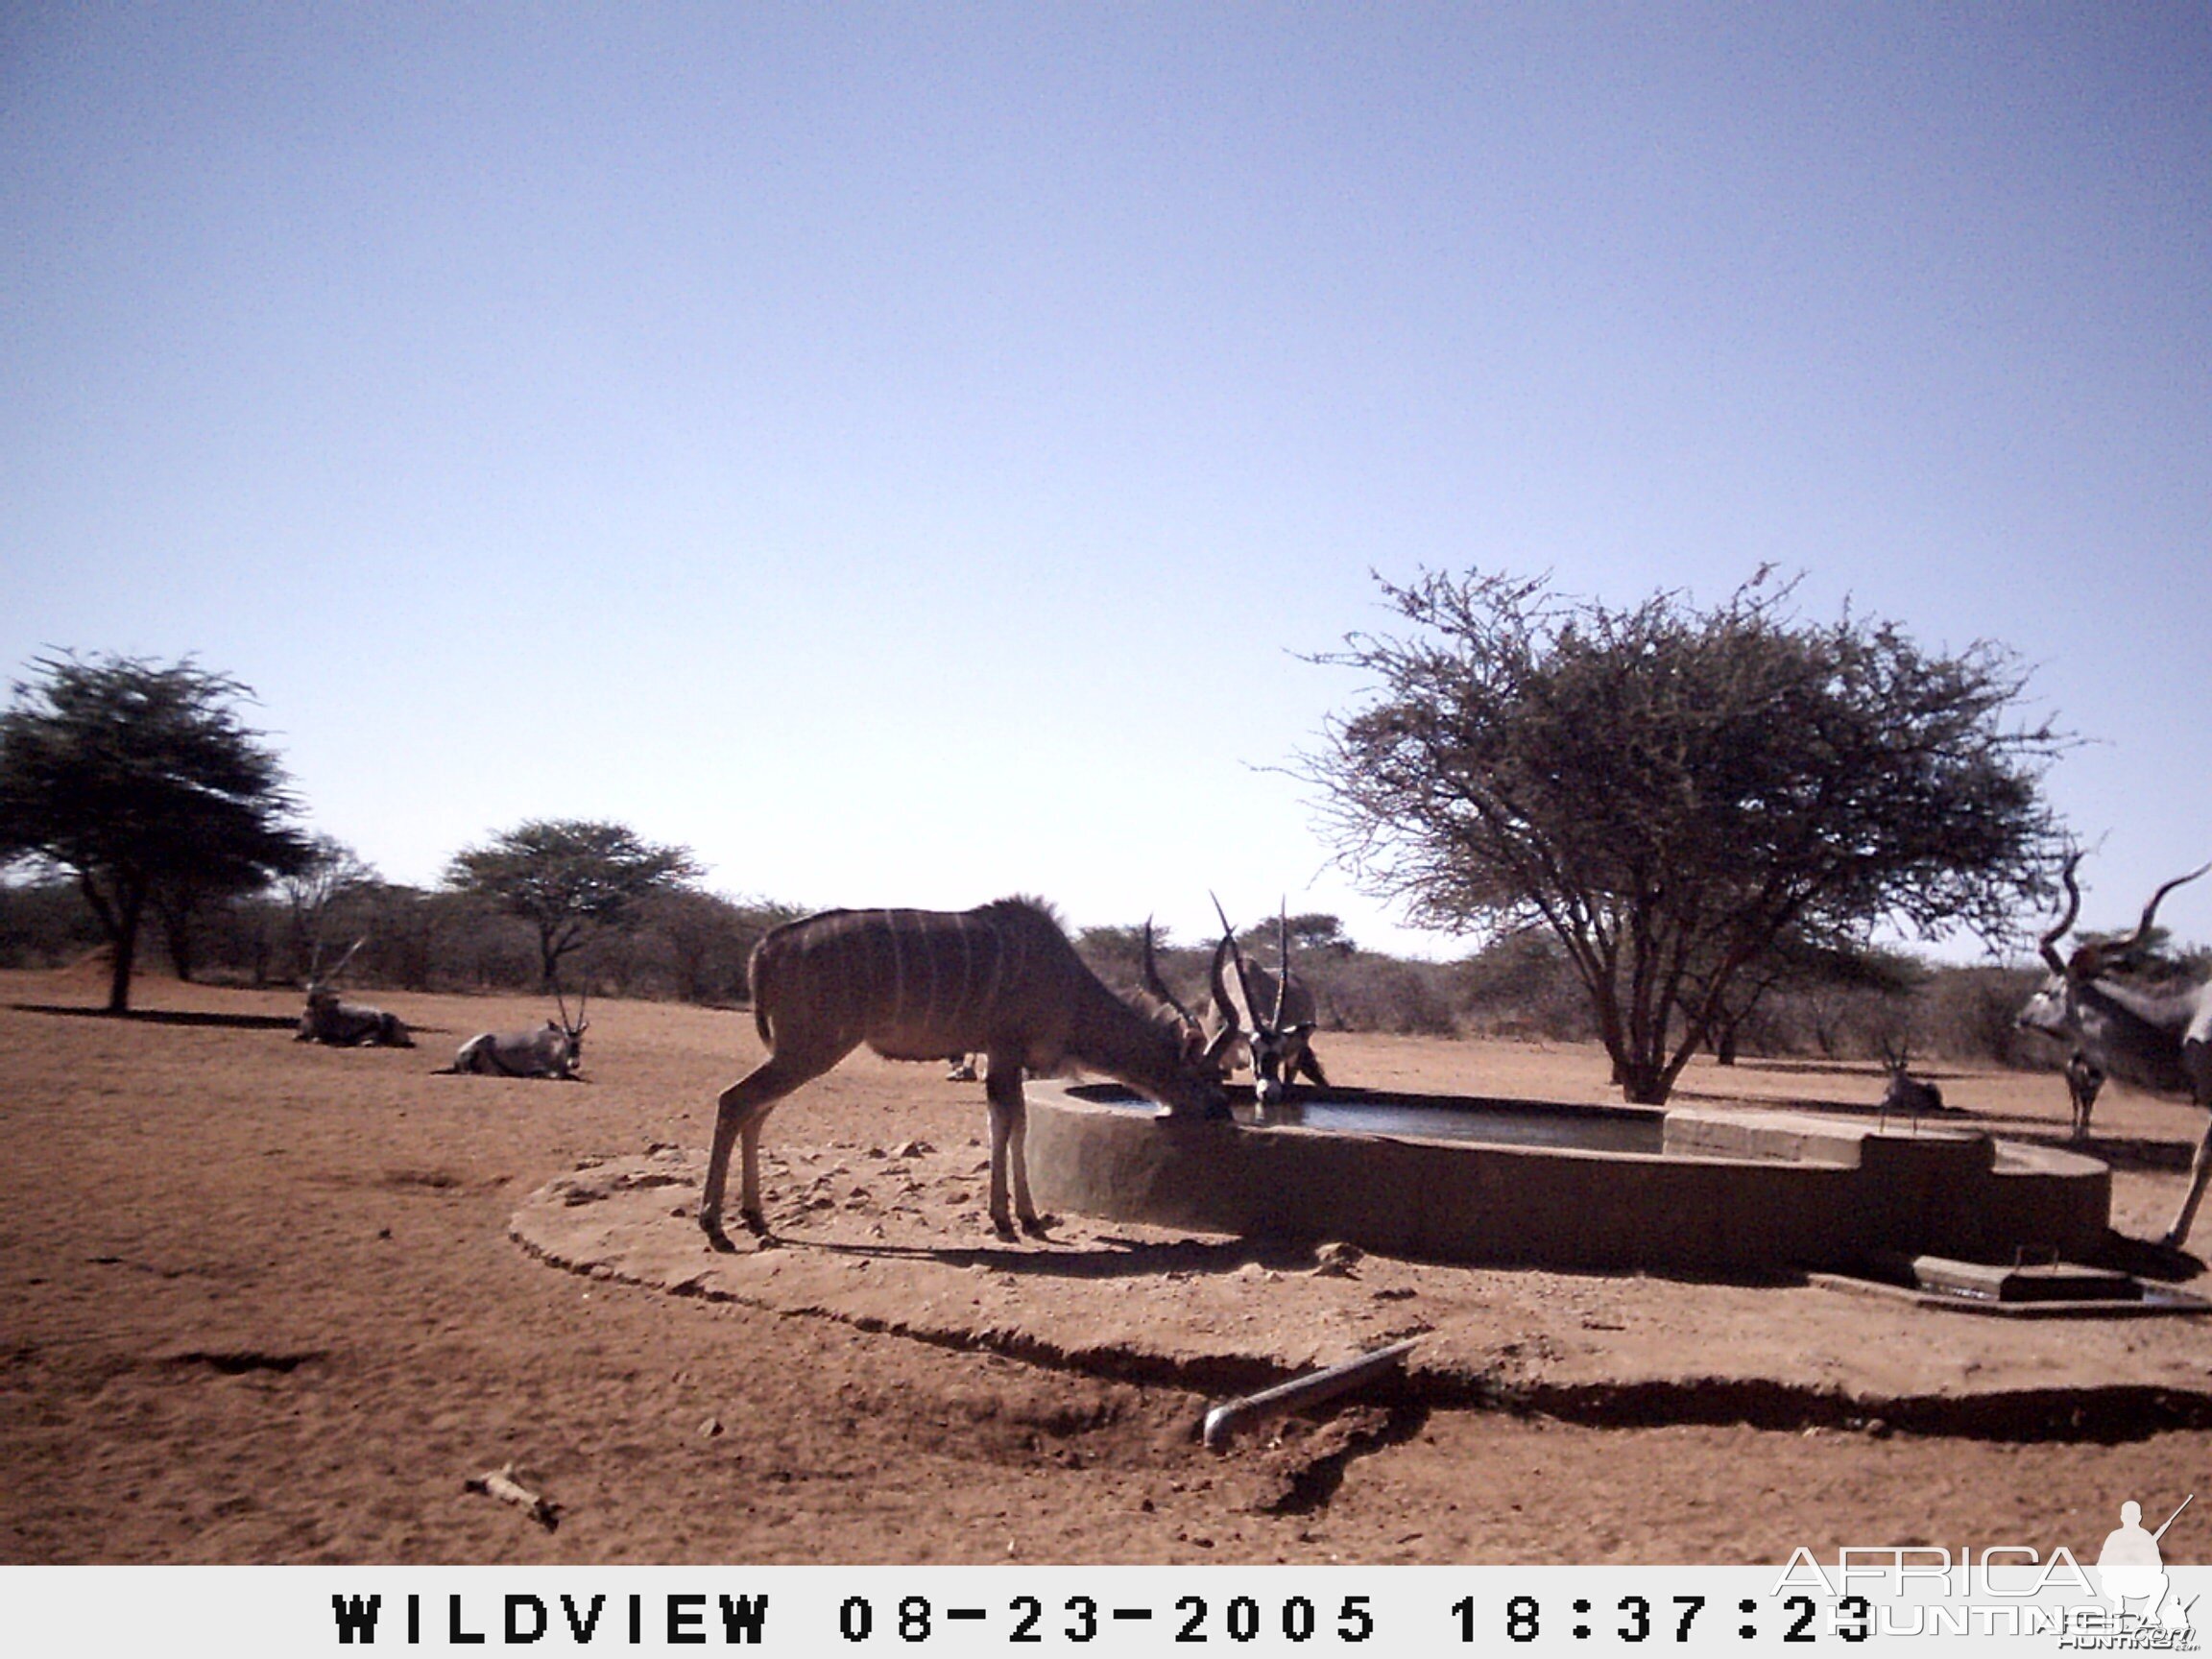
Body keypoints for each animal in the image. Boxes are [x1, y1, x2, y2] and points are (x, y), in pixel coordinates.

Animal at [703, 898, 1230, 1247]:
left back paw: (755, 1217)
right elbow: (1009, 1124)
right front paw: (1013, 1220)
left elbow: (1010, 1123)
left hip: (796, 1051)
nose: (1223, 1111)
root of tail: (767, 947)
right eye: (1206, 1077)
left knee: (755, 1110)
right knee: (736, 1100)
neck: (1068, 983)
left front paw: (1019, 1217)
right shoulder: (1006, 1052)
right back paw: (715, 1226)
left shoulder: (1001, 1057)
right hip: (809, 1049)